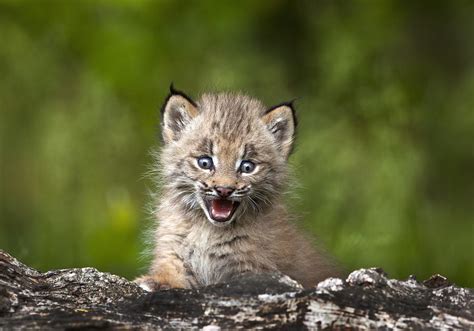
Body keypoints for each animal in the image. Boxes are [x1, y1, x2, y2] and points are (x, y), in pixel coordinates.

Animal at [135, 86, 338, 290]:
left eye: (247, 167)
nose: (224, 190)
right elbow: (170, 270)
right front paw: (157, 281)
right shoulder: (173, 248)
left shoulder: (251, 268)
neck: (207, 229)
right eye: (205, 162)